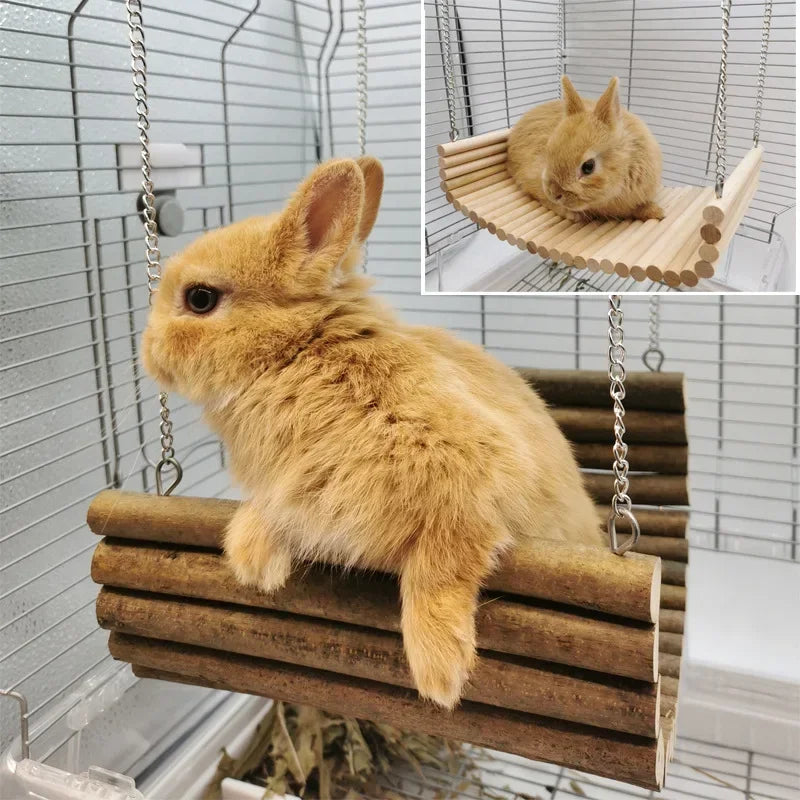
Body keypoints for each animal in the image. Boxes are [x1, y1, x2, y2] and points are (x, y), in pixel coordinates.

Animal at [141, 155, 604, 710]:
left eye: (200, 299)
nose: (146, 353)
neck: (297, 355)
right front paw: (254, 563)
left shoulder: (473, 480)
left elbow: (440, 564)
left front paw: (440, 671)